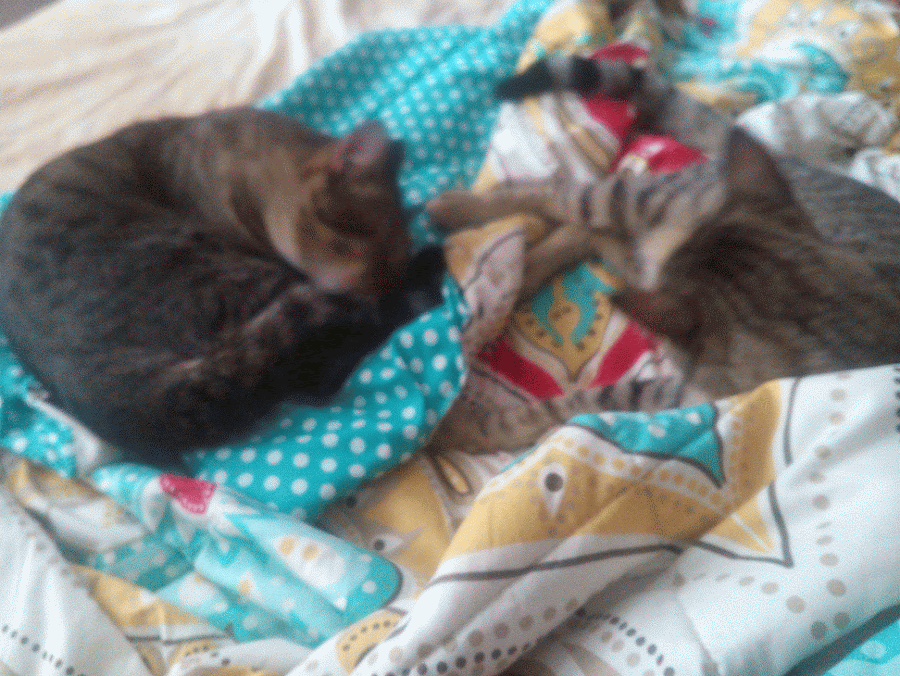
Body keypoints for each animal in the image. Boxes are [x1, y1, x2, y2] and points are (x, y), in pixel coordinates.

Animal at [428, 56, 900, 417]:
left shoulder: (684, 390)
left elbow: (584, 400)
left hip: (645, 237)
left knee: (594, 230)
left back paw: (518, 279)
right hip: (648, 199)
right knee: (564, 195)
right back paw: (455, 209)